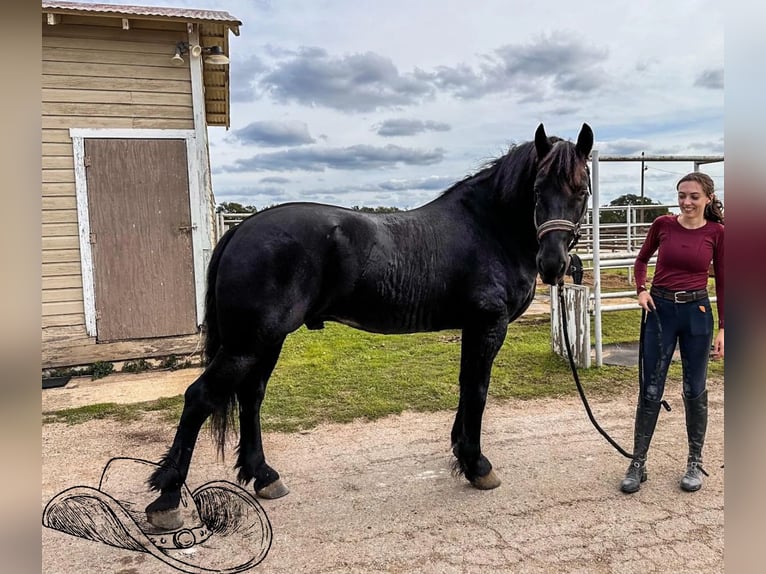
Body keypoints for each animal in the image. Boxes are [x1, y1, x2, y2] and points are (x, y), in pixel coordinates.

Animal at [145, 123, 594, 529]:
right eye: (537, 189)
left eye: (581, 190)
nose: (553, 264)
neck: (487, 228)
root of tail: (241, 230)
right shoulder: (487, 325)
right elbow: (478, 391)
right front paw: (478, 465)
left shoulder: (473, 328)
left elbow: (467, 388)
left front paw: (461, 453)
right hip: (248, 343)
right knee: (200, 398)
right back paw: (167, 500)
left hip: (265, 341)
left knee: (251, 396)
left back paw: (264, 476)